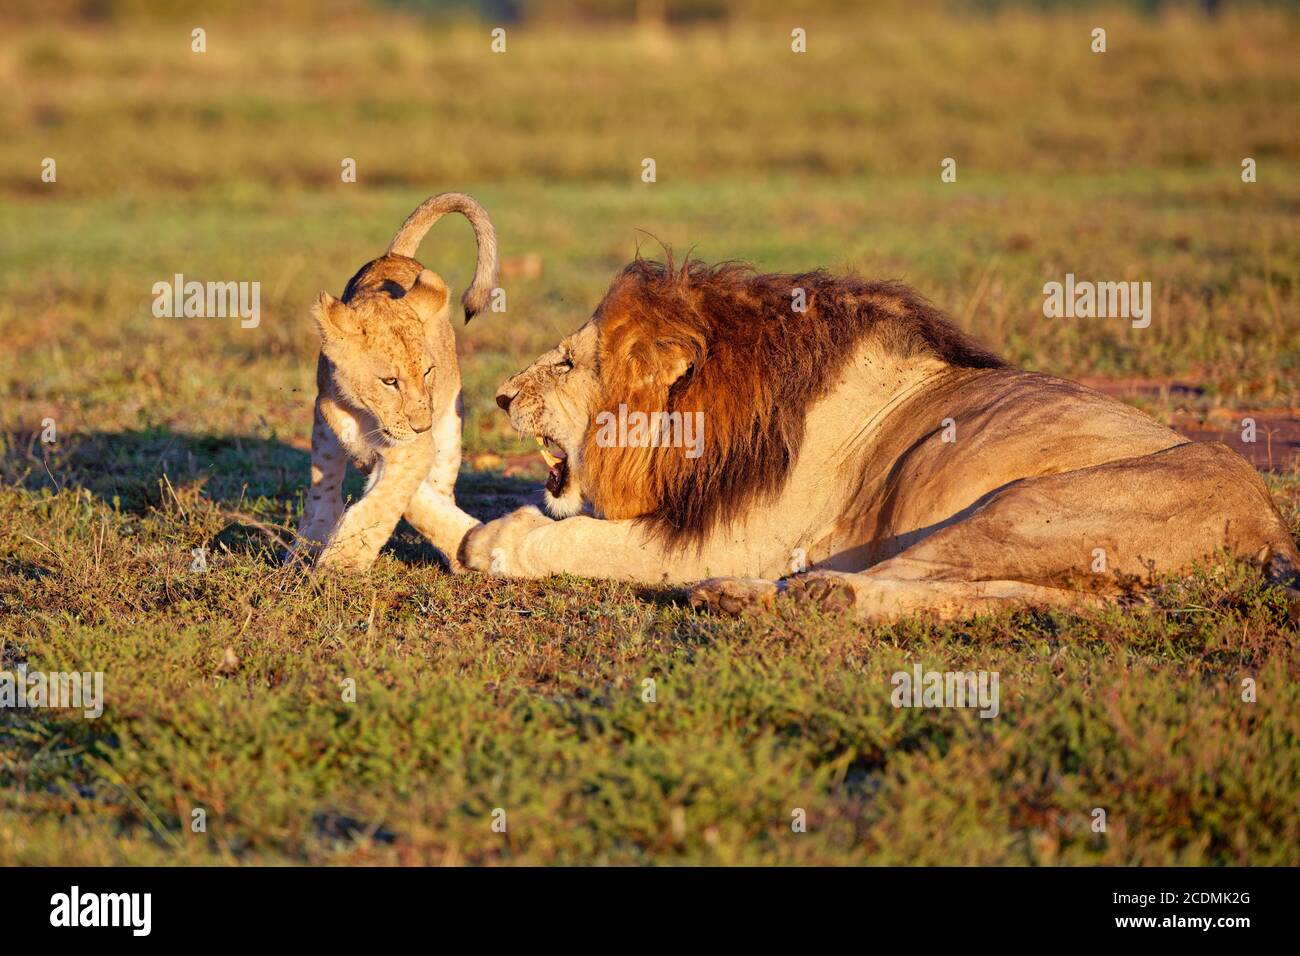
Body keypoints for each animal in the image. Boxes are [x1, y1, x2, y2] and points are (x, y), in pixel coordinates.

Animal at [292, 193, 492, 573]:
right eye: (389, 381)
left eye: (427, 372)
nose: (422, 425)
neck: (364, 413)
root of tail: (394, 256)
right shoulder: (328, 419)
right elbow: (334, 487)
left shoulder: (412, 448)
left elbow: (382, 502)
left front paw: (341, 563)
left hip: (450, 425)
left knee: (441, 482)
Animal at [457, 256, 1299, 620]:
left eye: (567, 362)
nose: (499, 394)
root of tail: (1271, 527)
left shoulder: (737, 537)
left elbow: (577, 537)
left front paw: (493, 540)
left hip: (1022, 508)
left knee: (915, 575)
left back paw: (794, 593)